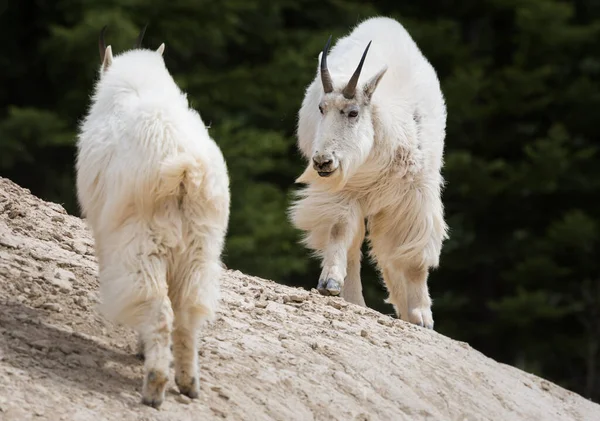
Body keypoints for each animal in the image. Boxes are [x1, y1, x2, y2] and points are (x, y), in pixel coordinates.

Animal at [76, 26, 231, 406]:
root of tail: (185, 167)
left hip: (142, 242)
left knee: (157, 308)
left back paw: (154, 385)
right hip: (201, 248)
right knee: (188, 313)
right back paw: (188, 383)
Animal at [288, 17, 448, 328]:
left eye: (353, 113)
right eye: (321, 108)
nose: (322, 162)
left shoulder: (415, 197)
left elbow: (413, 258)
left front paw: (420, 315)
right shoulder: (343, 190)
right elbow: (340, 230)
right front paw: (330, 282)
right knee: (354, 243)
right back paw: (353, 298)